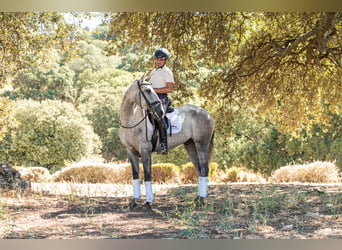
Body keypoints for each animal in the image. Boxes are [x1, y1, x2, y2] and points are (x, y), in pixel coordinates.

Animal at [119, 73, 215, 209]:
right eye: (147, 90)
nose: (159, 111)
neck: (131, 121)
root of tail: (207, 114)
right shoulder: (130, 151)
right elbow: (136, 175)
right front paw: (134, 201)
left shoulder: (145, 150)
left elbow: (147, 175)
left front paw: (148, 202)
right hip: (190, 145)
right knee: (199, 169)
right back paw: (197, 199)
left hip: (201, 144)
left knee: (204, 168)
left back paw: (201, 200)